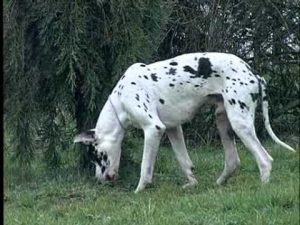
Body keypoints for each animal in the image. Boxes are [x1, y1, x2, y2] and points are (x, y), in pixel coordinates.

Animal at [74, 51, 294, 192]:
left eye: (97, 157)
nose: (99, 180)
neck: (120, 99)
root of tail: (253, 73)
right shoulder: (173, 129)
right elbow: (183, 161)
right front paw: (192, 183)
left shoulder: (154, 129)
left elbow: (145, 167)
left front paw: (139, 189)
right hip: (223, 123)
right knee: (233, 161)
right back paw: (218, 184)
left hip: (240, 124)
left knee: (265, 159)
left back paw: (263, 186)